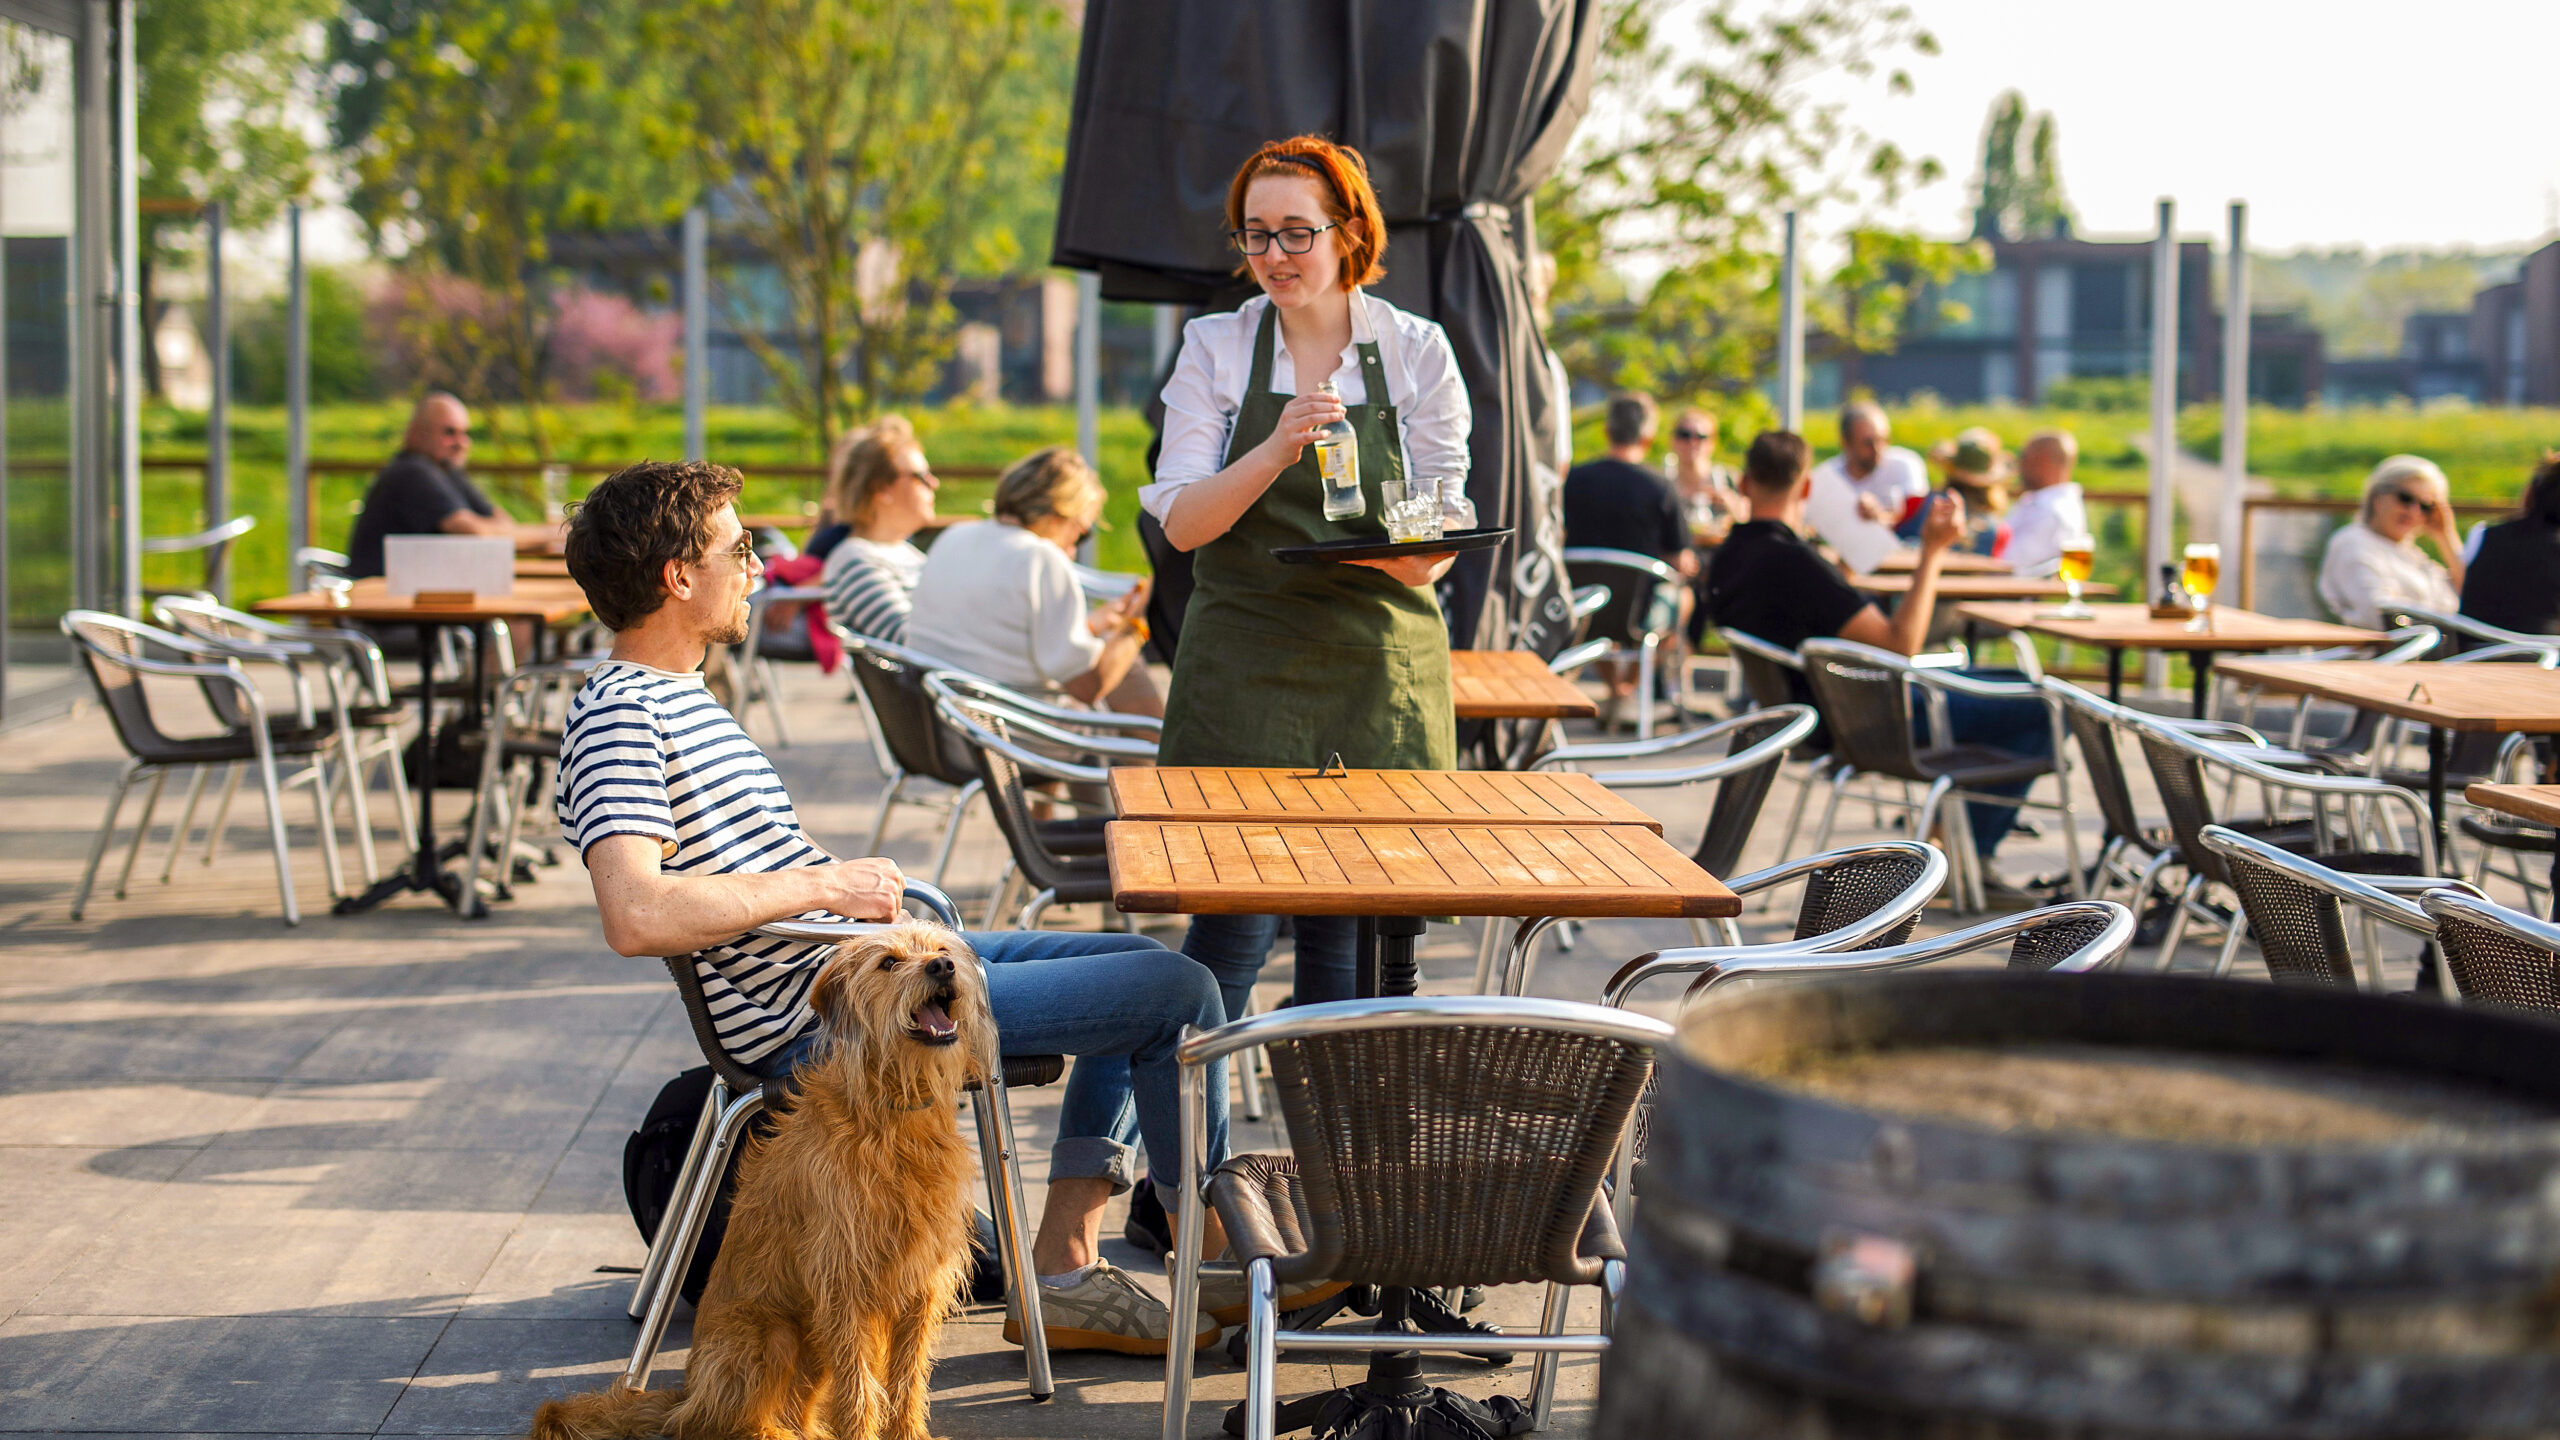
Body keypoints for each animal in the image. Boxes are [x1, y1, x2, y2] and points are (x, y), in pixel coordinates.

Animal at [529, 917, 988, 1434]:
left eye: (942, 949)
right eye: (888, 962)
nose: (943, 966)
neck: (894, 1118)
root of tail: (687, 1393)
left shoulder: (921, 1283)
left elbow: (908, 1378)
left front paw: (908, 1434)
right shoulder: (844, 1282)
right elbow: (859, 1386)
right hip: (773, 1334)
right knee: (736, 1420)